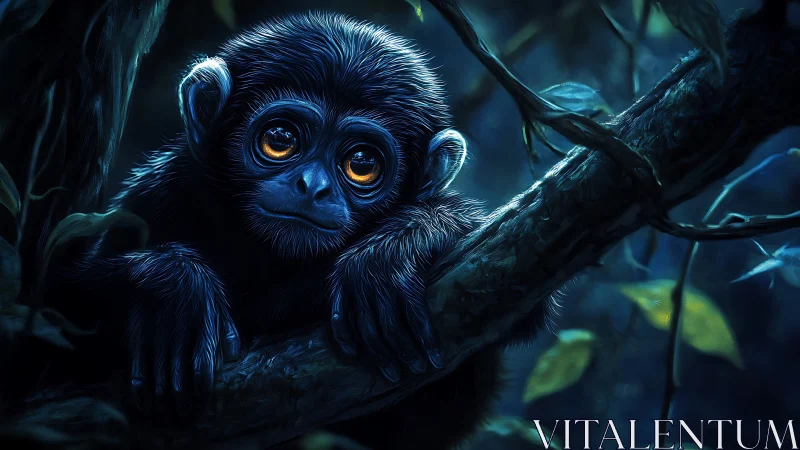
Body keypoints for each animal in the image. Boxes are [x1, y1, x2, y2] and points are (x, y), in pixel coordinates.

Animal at [47, 11, 556, 450]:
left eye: (362, 164)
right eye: (280, 140)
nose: (312, 186)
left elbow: (514, 298)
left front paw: (399, 246)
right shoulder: (156, 196)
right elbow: (60, 319)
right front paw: (173, 290)